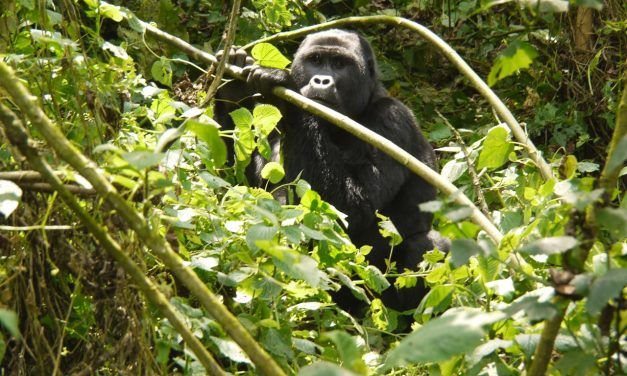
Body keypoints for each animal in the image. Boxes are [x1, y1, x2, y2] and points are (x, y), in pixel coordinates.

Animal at [217, 28, 452, 312]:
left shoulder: (393, 120)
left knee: (429, 244)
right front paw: (232, 86)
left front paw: (287, 92)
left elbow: (352, 207)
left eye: (340, 64)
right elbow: (234, 186)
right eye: (316, 60)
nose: (321, 80)